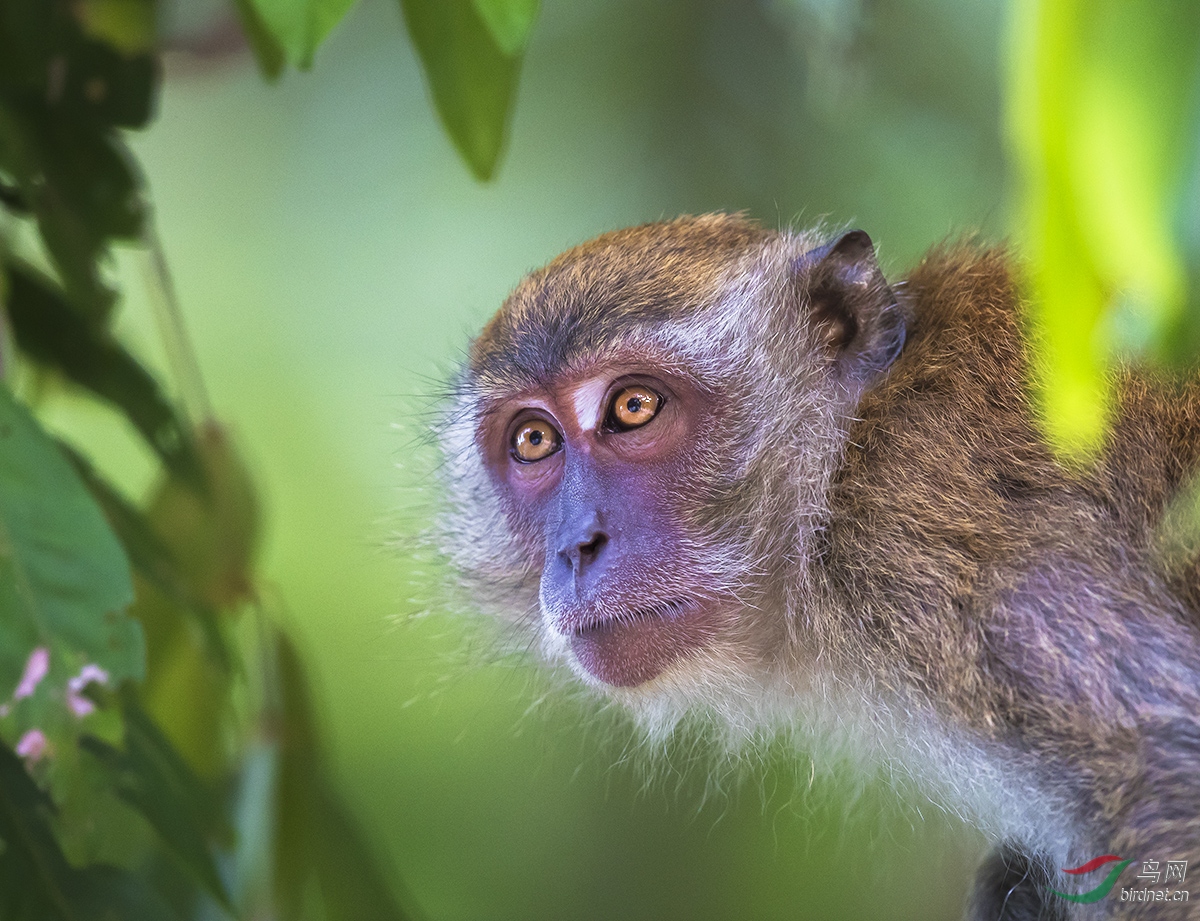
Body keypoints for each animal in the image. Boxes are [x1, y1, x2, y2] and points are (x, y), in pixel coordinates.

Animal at [439, 212, 1200, 916]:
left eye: (634, 406)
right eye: (534, 441)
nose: (577, 545)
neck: (843, 458)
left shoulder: (938, 545)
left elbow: (1170, 766)